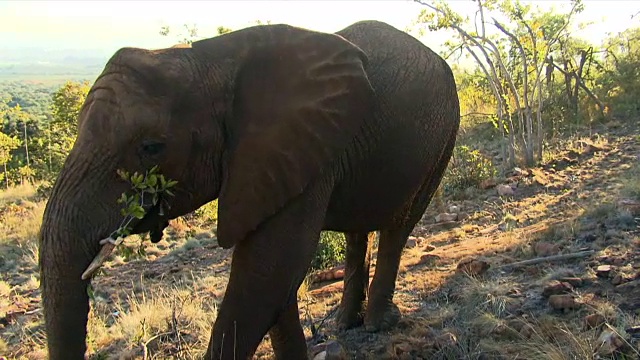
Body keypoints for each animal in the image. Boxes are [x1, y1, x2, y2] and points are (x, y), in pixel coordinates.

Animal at [37, 20, 460, 360]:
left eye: (152, 148)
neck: (210, 60)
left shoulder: (297, 149)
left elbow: (267, 270)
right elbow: (275, 275)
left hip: (444, 136)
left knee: (399, 226)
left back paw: (378, 325)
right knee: (358, 231)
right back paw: (345, 324)